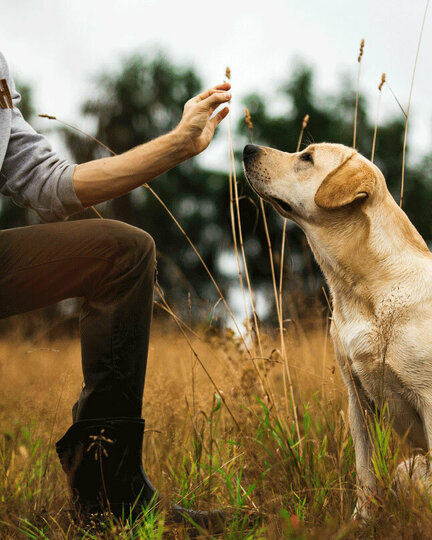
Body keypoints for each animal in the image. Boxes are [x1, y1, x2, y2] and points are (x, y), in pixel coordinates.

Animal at [243, 142, 432, 520]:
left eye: (307, 158)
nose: (247, 148)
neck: (362, 290)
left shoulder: (429, 396)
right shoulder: (358, 399)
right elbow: (365, 473)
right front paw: (362, 522)